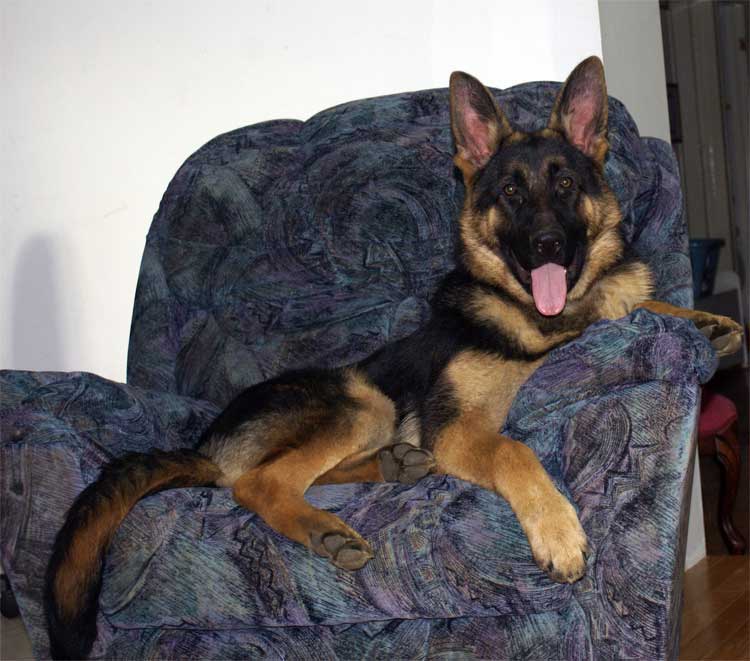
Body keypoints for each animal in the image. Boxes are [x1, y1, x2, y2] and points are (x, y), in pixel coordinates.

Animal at [47, 56, 748, 656]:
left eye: (567, 184)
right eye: (511, 193)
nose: (548, 245)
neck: (543, 318)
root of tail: (205, 445)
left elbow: (637, 306)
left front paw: (705, 321)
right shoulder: (458, 430)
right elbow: (512, 449)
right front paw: (557, 529)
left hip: (373, 414)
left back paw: (392, 466)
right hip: (360, 398)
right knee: (259, 481)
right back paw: (324, 527)